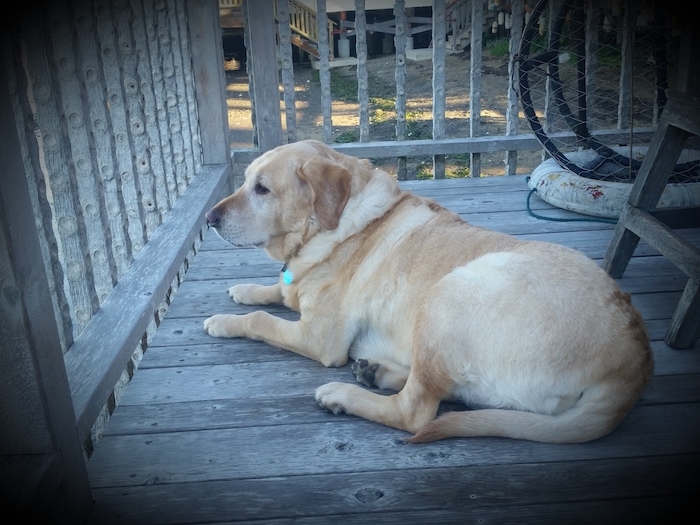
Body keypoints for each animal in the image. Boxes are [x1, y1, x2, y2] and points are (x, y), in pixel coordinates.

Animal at [205, 140, 652, 442]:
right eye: (244, 181)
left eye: (262, 188)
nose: (209, 218)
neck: (336, 226)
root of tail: (634, 357)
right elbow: (277, 293)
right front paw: (246, 289)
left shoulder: (319, 338)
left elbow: (262, 320)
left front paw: (224, 321)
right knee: (448, 390)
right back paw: (377, 371)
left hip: (451, 291)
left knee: (416, 411)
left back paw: (344, 395)